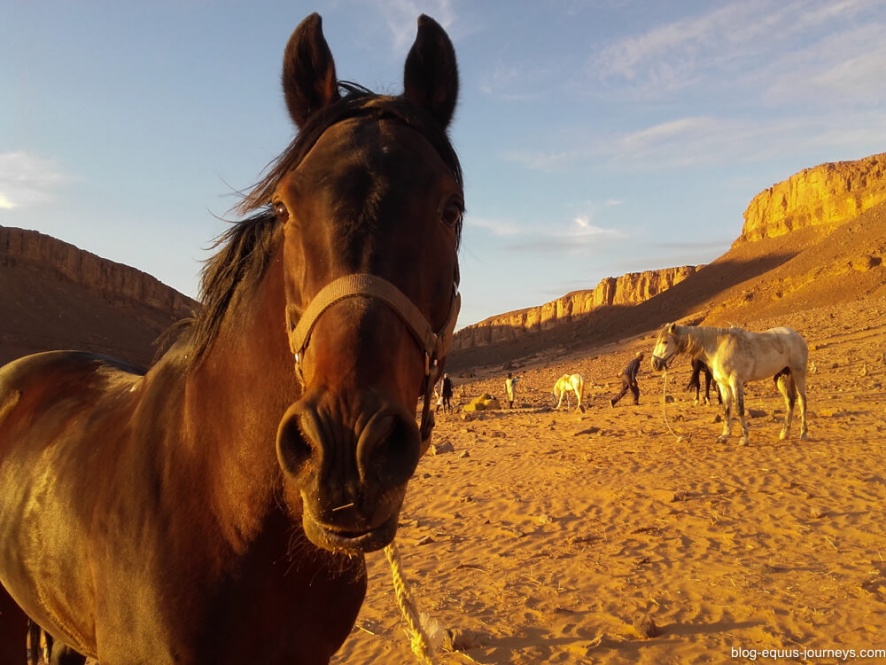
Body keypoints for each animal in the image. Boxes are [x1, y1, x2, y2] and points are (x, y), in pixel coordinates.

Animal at [652, 322, 812, 446]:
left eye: (665, 341)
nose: (654, 364)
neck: (717, 347)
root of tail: (797, 336)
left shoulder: (736, 382)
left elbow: (739, 409)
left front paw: (744, 438)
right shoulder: (723, 385)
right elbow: (726, 409)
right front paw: (724, 436)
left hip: (798, 374)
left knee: (802, 401)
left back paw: (804, 433)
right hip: (782, 376)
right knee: (790, 401)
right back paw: (785, 433)